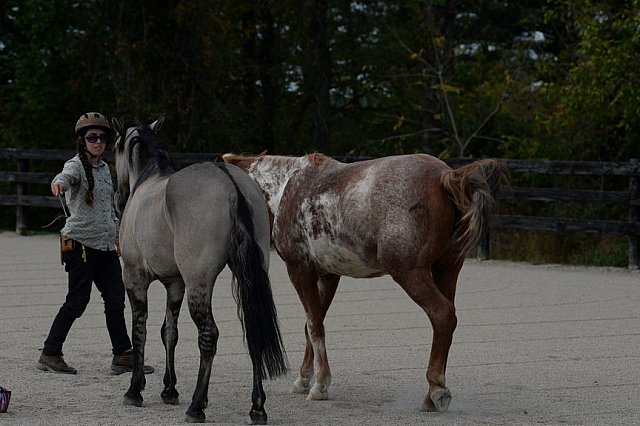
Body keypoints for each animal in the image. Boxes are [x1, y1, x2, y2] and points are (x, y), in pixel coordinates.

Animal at [112, 116, 288, 422]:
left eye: (114, 148)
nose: (118, 197)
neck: (148, 181)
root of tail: (230, 183)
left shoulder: (135, 278)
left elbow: (139, 331)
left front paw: (135, 390)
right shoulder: (175, 283)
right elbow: (169, 332)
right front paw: (169, 389)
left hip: (199, 282)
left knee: (208, 335)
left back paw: (196, 406)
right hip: (246, 278)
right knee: (253, 332)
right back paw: (256, 407)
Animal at [222, 151, 508, 412]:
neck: (288, 187)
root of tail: (444, 176)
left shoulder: (299, 271)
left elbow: (314, 326)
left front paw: (320, 386)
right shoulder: (327, 274)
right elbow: (311, 325)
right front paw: (303, 380)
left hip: (410, 273)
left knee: (442, 315)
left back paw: (435, 390)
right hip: (446, 269)